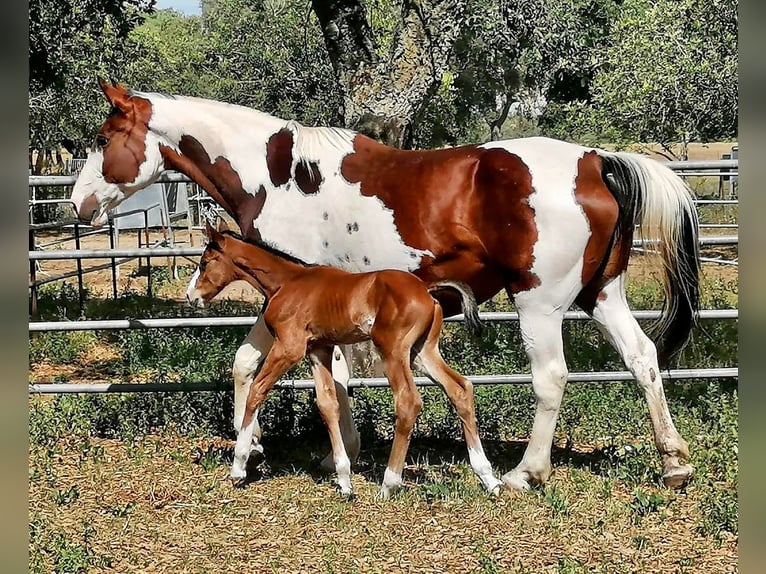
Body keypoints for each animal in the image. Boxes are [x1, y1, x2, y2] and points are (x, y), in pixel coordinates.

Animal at [183, 220, 500, 500]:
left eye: (205, 262)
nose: (190, 296)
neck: (288, 282)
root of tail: (426, 290)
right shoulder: (318, 350)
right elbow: (327, 404)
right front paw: (345, 481)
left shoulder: (289, 348)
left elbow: (257, 391)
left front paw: (239, 467)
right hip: (423, 352)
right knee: (460, 388)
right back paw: (488, 478)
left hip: (393, 351)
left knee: (408, 401)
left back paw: (389, 484)